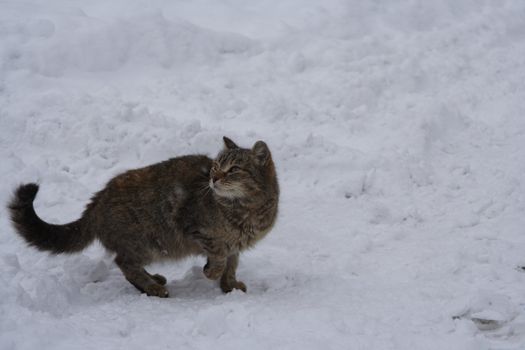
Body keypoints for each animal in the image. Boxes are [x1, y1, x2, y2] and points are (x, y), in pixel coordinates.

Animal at [8, 138, 278, 296]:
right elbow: (220, 258)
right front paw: (211, 272)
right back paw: (152, 287)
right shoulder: (199, 231)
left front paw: (229, 285)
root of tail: (96, 202)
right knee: (123, 263)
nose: (214, 178)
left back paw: (152, 279)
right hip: (146, 243)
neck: (247, 209)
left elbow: (232, 264)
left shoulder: (235, 245)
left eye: (234, 169)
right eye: (215, 166)